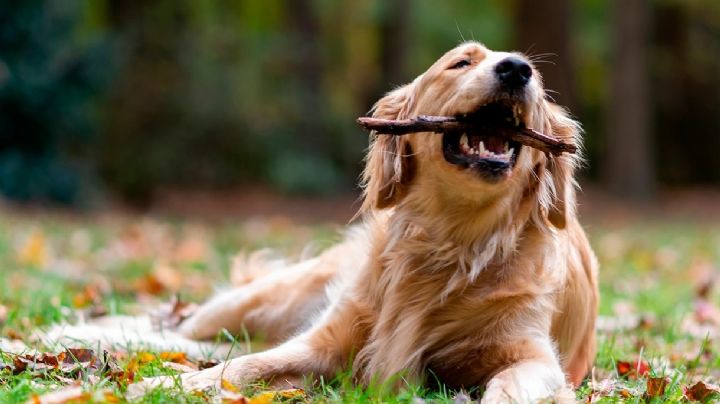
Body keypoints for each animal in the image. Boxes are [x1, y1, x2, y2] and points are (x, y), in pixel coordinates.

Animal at [126, 42, 600, 402]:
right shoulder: (326, 340)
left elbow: (509, 387)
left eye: (536, 79)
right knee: (184, 329)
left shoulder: (534, 357)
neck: (452, 241)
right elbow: (244, 364)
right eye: (461, 63)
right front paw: (159, 383)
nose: (517, 70)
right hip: (267, 296)